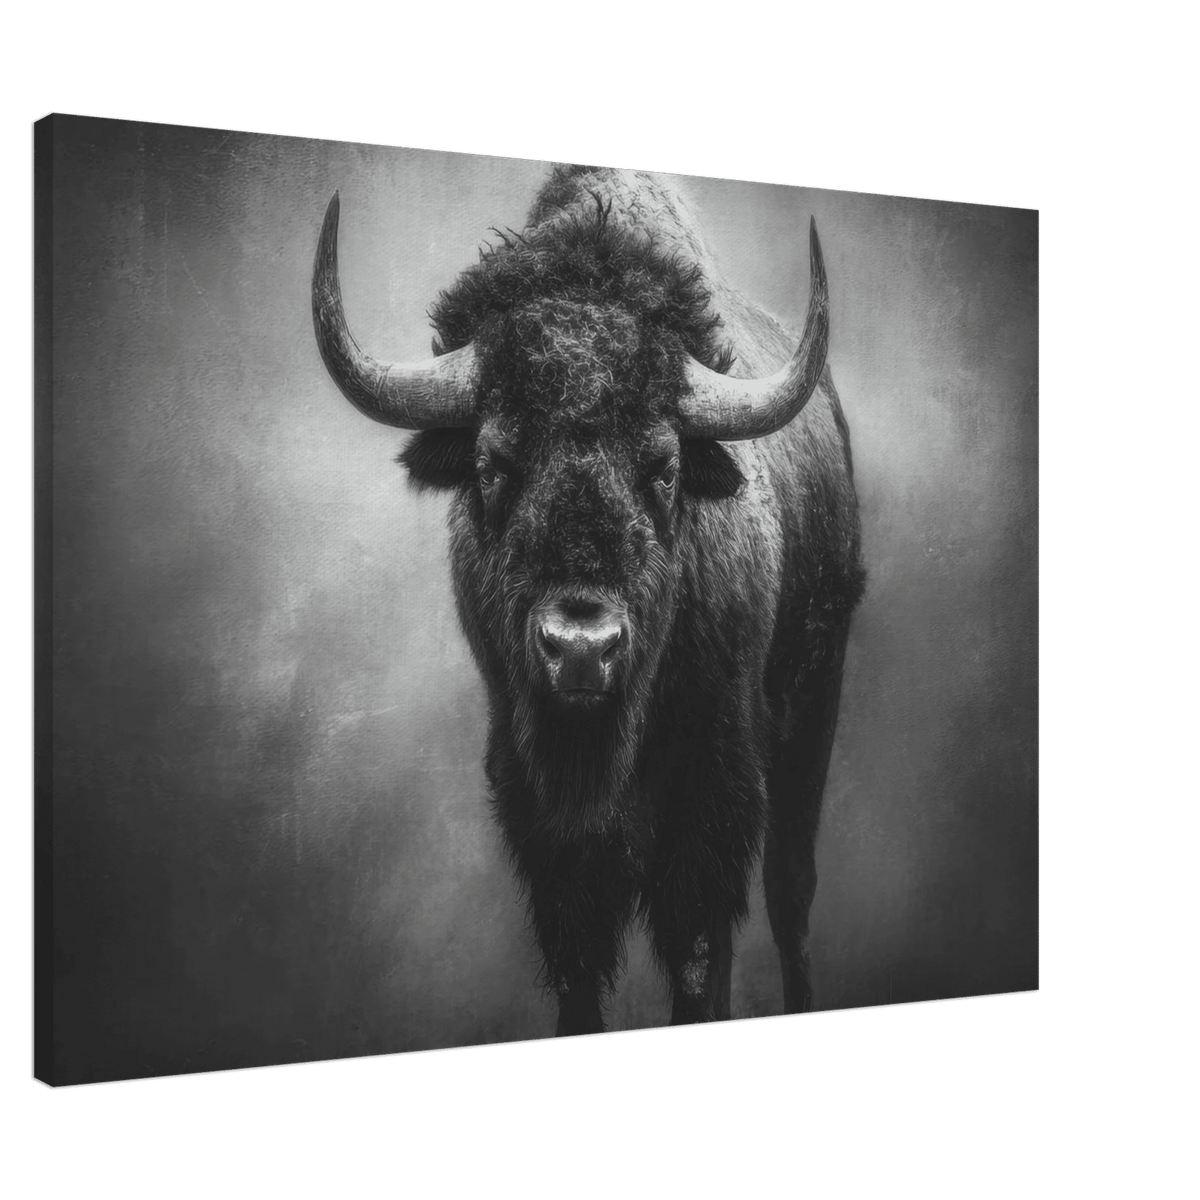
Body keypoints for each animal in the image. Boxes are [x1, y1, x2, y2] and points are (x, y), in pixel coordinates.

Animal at [312, 165, 865, 1036]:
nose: (580, 648)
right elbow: (579, 964)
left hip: (813, 701)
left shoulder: (712, 794)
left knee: (790, 893)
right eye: (493, 463)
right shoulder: (540, 816)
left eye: (664, 467)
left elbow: (697, 950)